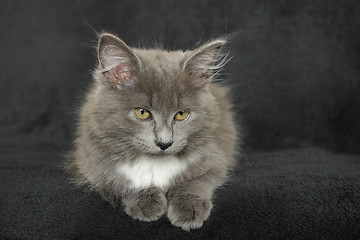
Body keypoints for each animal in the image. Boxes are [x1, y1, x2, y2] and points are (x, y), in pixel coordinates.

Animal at [66, 32, 240, 231]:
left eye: (181, 114)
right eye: (142, 113)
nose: (164, 143)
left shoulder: (214, 156)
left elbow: (195, 181)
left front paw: (189, 210)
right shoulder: (96, 164)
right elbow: (126, 181)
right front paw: (146, 204)